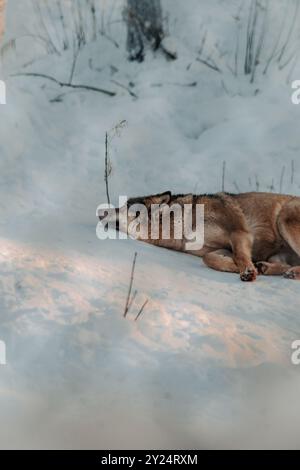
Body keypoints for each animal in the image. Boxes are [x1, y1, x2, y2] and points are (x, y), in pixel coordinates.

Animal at [99, 191, 300, 282]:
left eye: (122, 207)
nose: (100, 212)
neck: (183, 225)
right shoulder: (220, 248)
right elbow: (209, 259)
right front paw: (243, 268)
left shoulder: (239, 232)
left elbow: (240, 256)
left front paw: (247, 271)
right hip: (278, 252)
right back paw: (267, 267)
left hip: (284, 219)